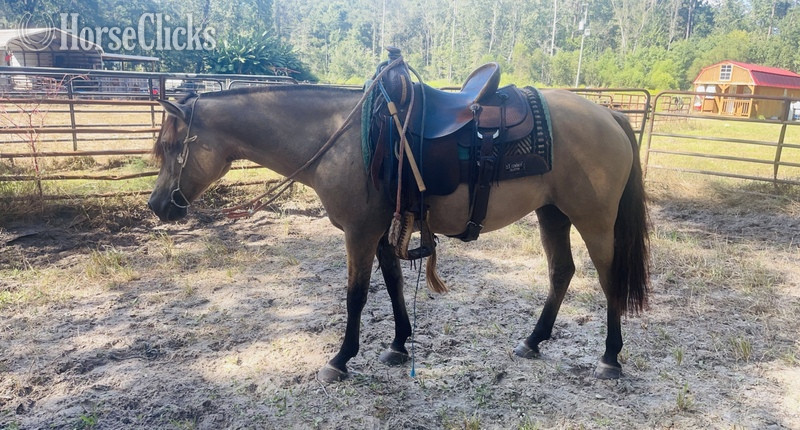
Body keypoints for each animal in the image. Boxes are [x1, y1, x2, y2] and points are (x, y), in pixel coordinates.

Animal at [147, 84, 650, 383]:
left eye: (171, 146)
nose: (157, 206)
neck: (340, 139)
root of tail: (610, 115)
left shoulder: (359, 232)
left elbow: (356, 295)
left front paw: (340, 359)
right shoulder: (381, 230)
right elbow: (392, 284)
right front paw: (397, 345)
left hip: (594, 220)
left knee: (609, 280)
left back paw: (610, 357)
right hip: (552, 213)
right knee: (561, 272)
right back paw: (533, 341)